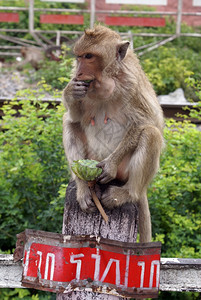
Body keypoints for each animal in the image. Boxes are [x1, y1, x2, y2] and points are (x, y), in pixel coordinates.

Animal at [62, 24, 164, 243]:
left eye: (89, 56)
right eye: (79, 57)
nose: (80, 72)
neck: (106, 79)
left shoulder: (132, 83)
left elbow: (148, 120)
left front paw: (109, 164)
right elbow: (75, 116)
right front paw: (70, 91)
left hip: (124, 171)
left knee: (150, 134)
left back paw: (128, 193)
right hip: (91, 157)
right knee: (69, 123)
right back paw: (82, 187)